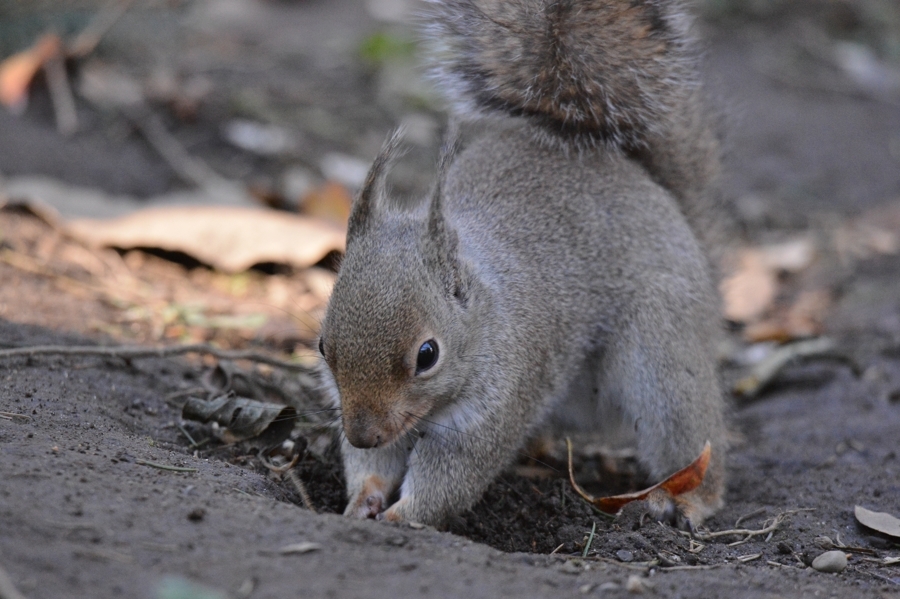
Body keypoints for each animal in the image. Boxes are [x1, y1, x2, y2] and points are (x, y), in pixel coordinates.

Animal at [320, 0, 728, 528]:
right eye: (323, 346)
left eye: (427, 355)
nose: (362, 434)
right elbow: (375, 465)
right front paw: (362, 499)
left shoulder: (493, 410)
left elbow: (451, 480)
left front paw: (400, 516)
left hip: (664, 352)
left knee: (688, 431)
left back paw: (691, 499)